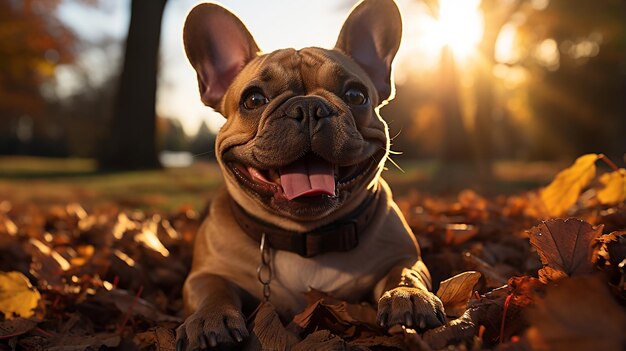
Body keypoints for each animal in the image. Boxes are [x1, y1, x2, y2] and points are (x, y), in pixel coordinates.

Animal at [177, 0, 444, 350]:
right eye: (253, 99)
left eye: (356, 95)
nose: (307, 107)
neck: (306, 238)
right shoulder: (204, 274)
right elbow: (212, 288)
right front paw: (210, 318)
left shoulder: (403, 255)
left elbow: (405, 270)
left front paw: (408, 296)